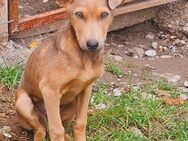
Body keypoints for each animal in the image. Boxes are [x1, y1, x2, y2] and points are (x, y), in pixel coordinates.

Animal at [15, 0, 122, 140]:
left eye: (104, 14)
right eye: (79, 14)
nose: (92, 45)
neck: (84, 57)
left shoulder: (86, 88)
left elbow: (81, 122)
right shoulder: (49, 90)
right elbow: (56, 130)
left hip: (71, 104)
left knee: (55, 127)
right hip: (23, 102)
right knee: (41, 129)